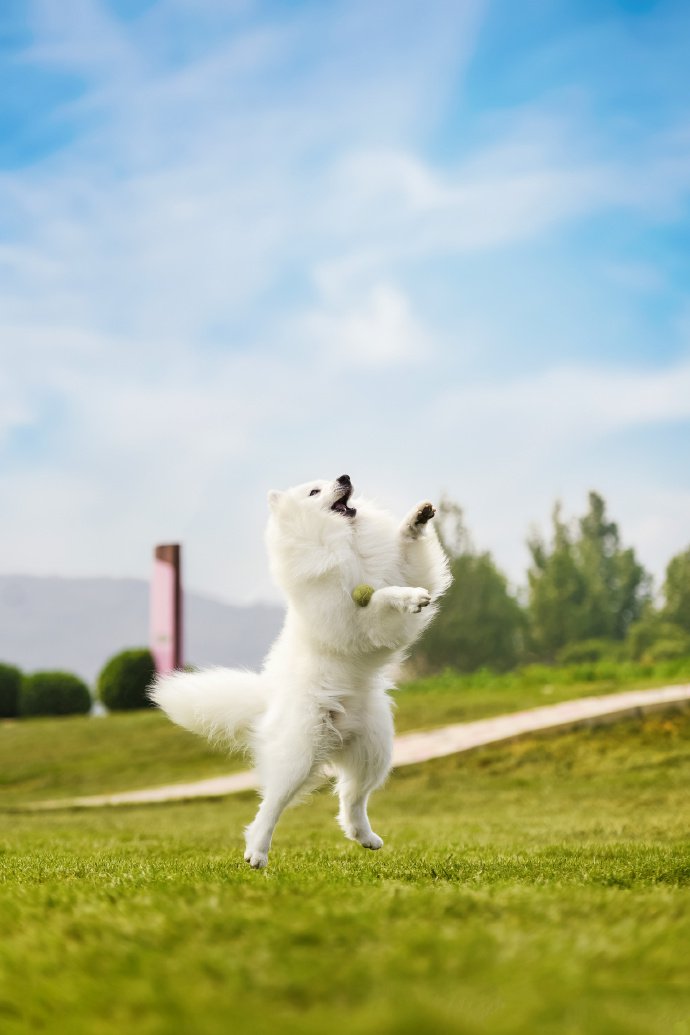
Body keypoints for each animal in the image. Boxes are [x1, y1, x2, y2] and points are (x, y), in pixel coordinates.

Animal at [152, 476, 451, 865]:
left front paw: (417, 519)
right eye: (314, 491)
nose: (345, 477)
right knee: (271, 805)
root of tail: (269, 700)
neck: (343, 541)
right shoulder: (355, 619)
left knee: (351, 798)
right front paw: (408, 597)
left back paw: (364, 836)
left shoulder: (403, 568)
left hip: (376, 750)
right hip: (300, 755)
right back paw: (256, 852)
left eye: (331, 480)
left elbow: (408, 559)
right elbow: (380, 596)